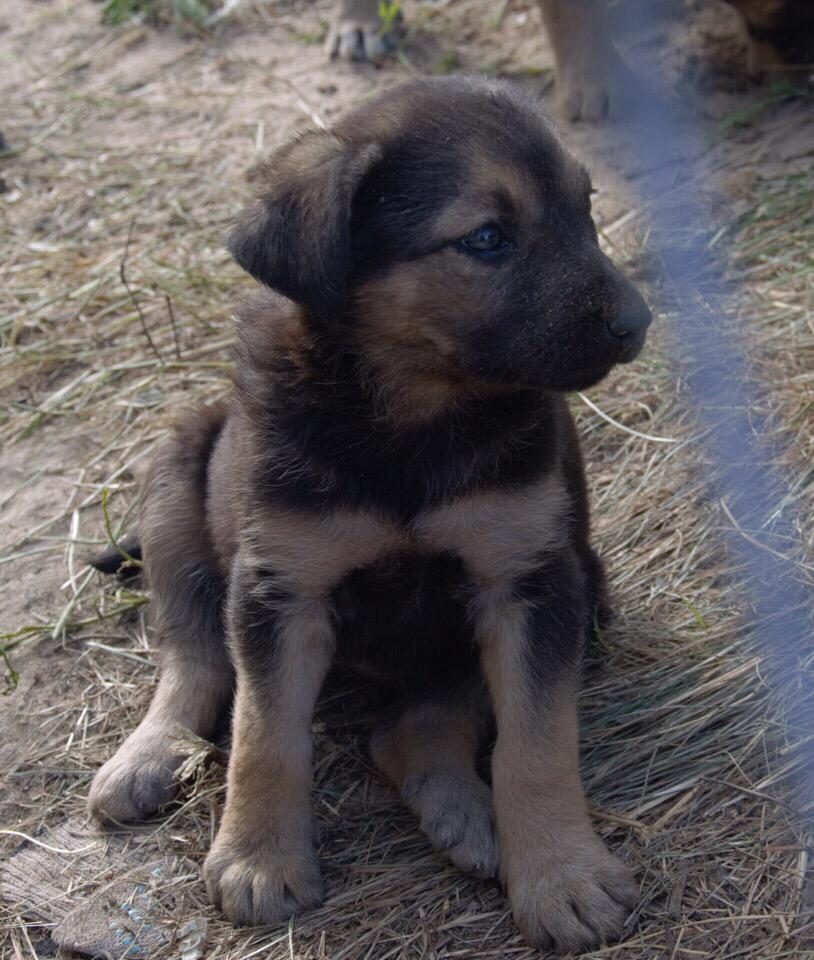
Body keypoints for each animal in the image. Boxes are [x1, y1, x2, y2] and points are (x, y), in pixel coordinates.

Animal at [89, 77, 652, 952]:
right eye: (486, 238)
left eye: (585, 207)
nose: (637, 322)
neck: (410, 418)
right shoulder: (278, 586)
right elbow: (263, 735)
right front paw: (258, 859)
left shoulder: (530, 580)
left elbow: (538, 744)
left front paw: (563, 875)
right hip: (177, 477)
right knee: (194, 658)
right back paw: (146, 757)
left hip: (575, 589)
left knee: (408, 728)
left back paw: (466, 818)